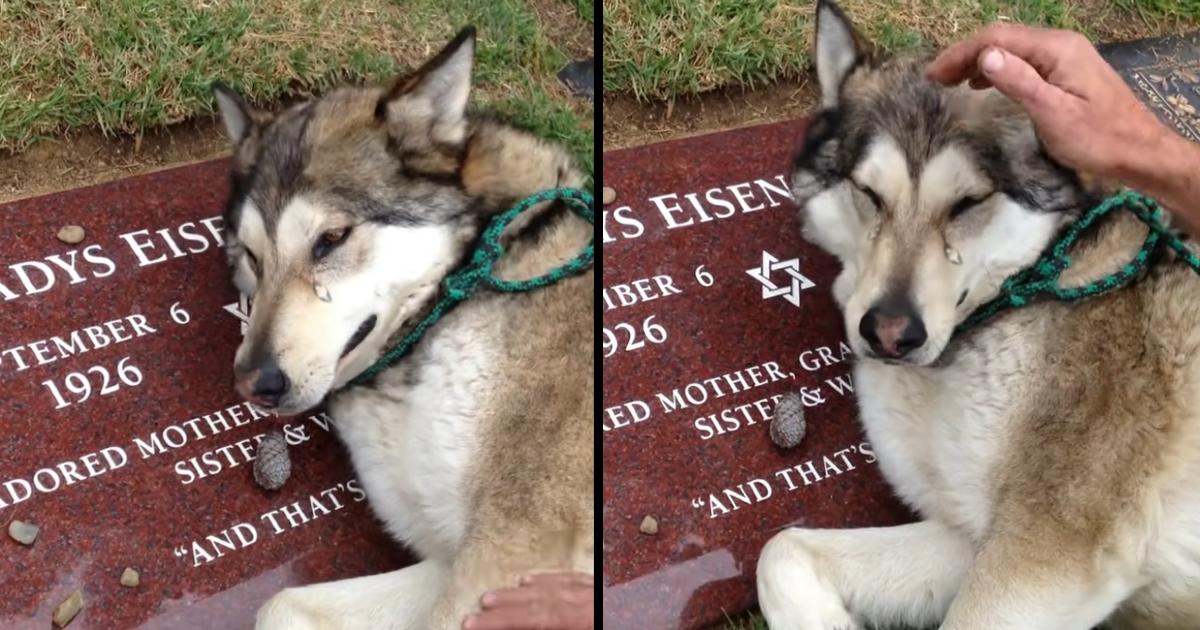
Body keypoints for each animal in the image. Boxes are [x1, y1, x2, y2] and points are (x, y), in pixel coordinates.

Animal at [212, 28, 595, 628]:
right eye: (251, 255)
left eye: (331, 239)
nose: (254, 384)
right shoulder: (449, 561)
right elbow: (281, 602)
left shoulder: (508, 555)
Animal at [753, 2, 1200, 624]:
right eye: (869, 194)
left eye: (968, 203)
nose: (889, 334)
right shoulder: (967, 537)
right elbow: (780, 548)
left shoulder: (1041, 558)